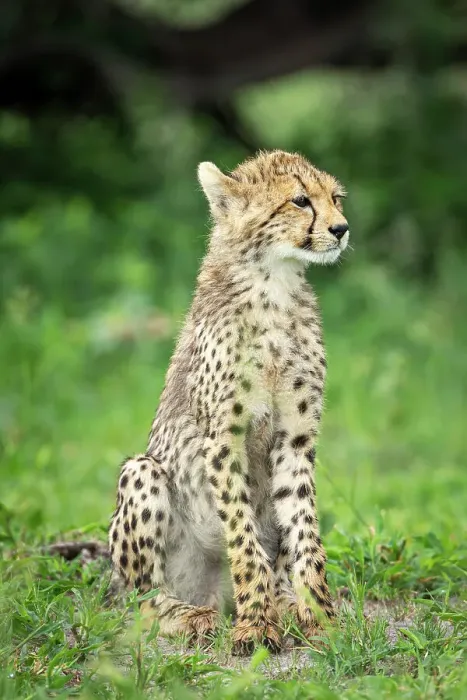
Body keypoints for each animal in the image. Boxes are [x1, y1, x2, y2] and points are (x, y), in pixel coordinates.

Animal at [108, 149, 350, 653]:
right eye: (300, 200)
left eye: (335, 198)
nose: (341, 228)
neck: (274, 284)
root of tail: (208, 593)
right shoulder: (223, 437)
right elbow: (241, 534)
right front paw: (256, 623)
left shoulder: (296, 438)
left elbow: (305, 531)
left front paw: (319, 618)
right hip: (142, 472)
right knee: (141, 600)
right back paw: (190, 615)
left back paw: (285, 603)